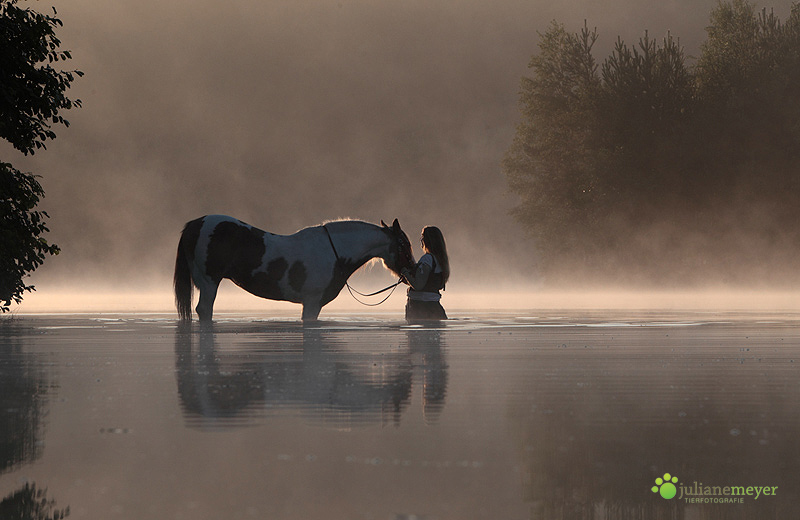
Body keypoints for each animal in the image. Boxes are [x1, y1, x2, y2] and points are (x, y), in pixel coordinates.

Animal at [173, 214, 416, 320]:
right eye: (405, 245)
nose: (413, 273)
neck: (333, 252)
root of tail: (196, 224)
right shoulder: (312, 303)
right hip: (209, 282)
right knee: (204, 310)